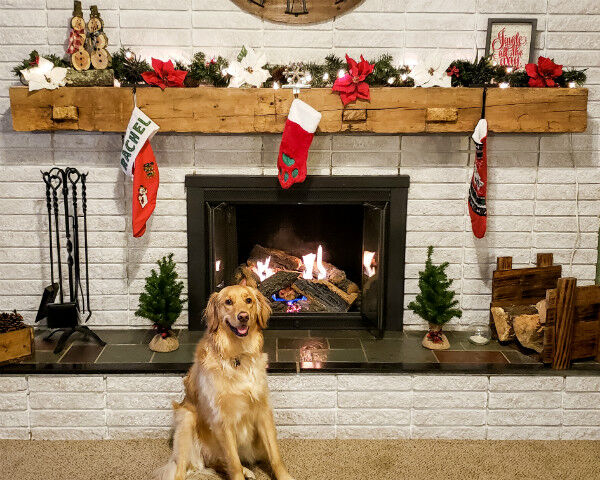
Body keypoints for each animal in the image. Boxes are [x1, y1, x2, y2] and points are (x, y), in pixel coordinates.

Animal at [155, 284, 296, 480]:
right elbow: (233, 462)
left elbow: (275, 455)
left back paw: (246, 470)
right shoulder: (222, 420)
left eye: (248, 300)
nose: (243, 316)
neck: (237, 356)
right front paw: (239, 473)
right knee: (181, 470)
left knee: (218, 463)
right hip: (186, 420)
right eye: (228, 302)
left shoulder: (263, 410)